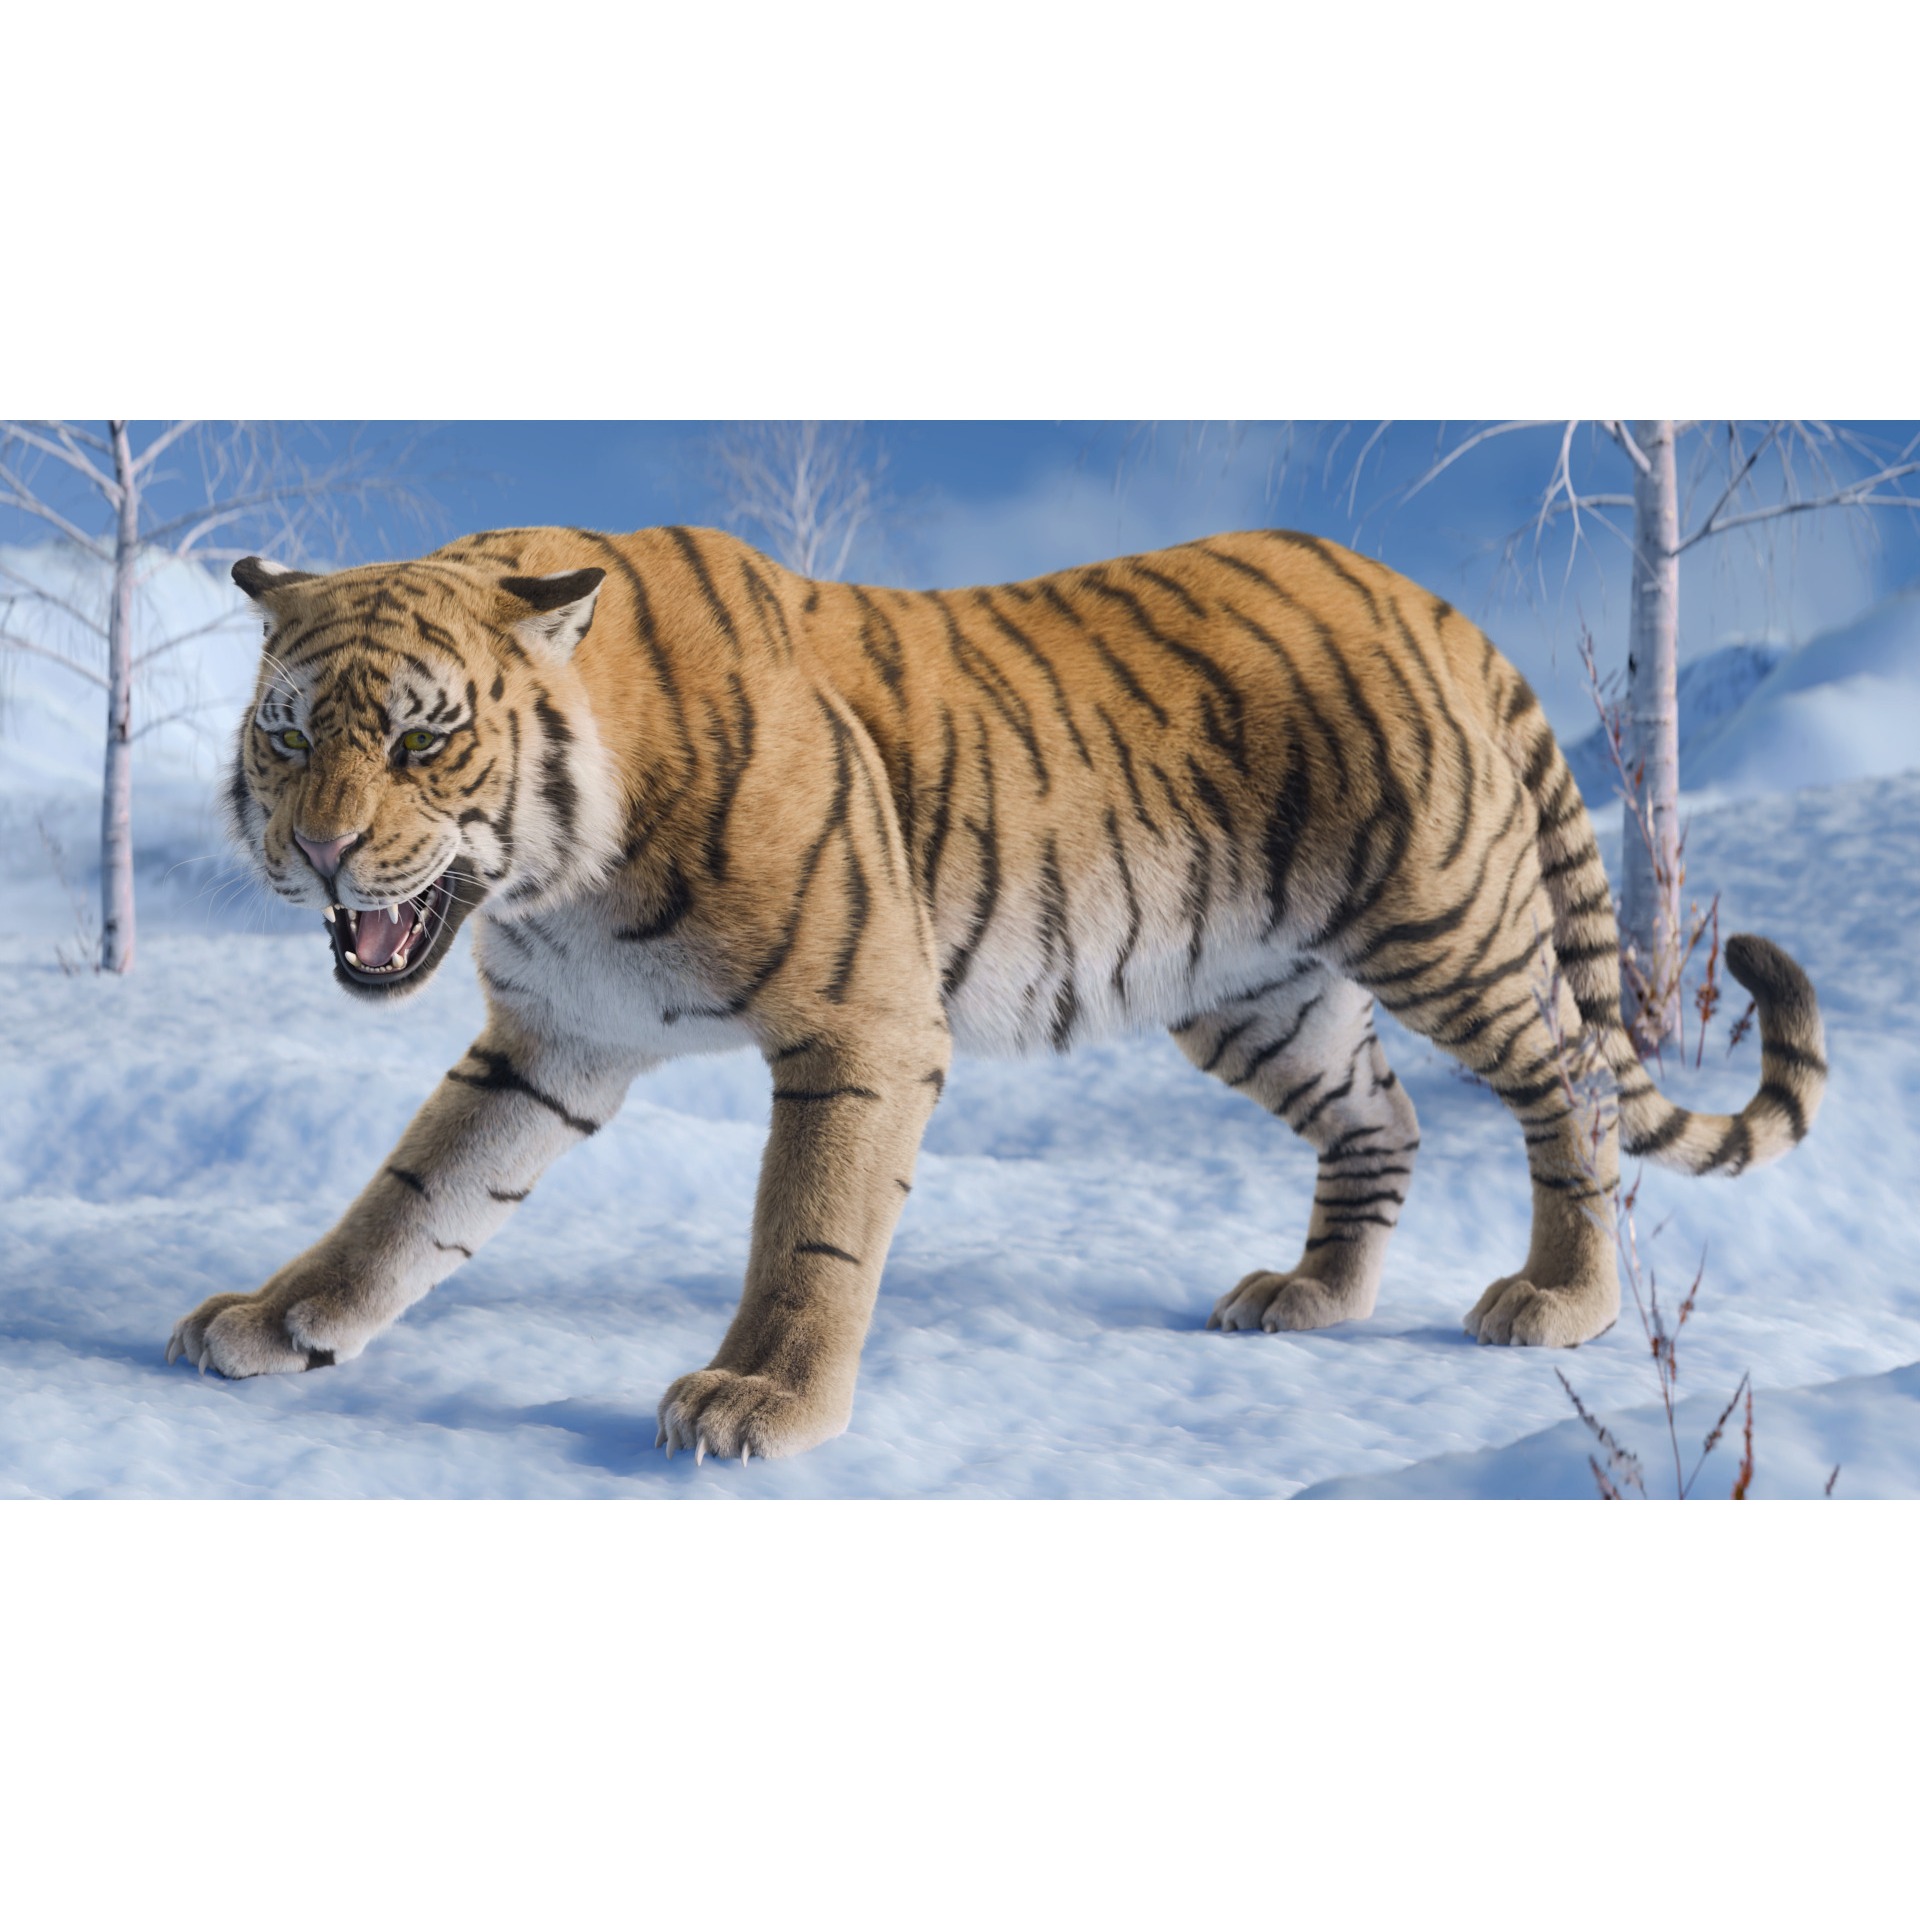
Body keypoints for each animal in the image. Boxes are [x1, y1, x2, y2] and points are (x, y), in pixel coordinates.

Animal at [165, 523, 1829, 1463]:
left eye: (424, 738)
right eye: (287, 734)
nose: (317, 849)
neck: (555, 877)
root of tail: (1418, 592)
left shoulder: (861, 1022)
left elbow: (811, 1231)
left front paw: (762, 1403)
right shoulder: (555, 1040)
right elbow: (408, 1201)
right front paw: (282, 1321)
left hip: (1448, 924)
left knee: (1575, 1085)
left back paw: (1562, 1301)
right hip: (1251, 987)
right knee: (1383, 1119)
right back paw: (1311, 1298)